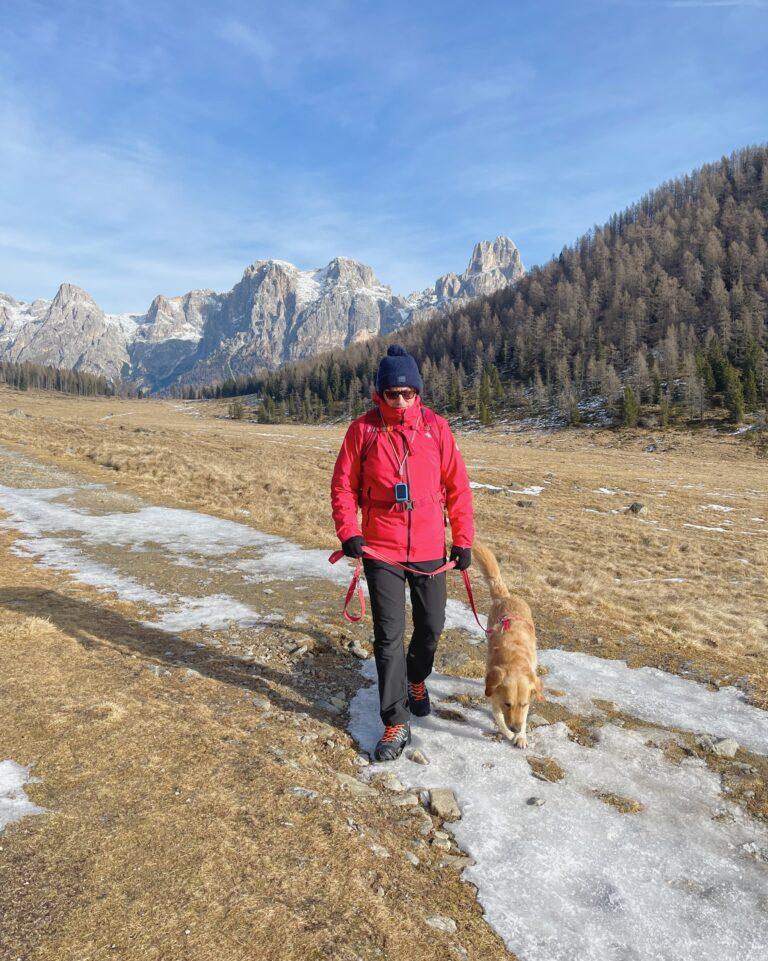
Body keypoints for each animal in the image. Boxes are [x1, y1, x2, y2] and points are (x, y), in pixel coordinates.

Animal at [472, 544, 544, 748]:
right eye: (507, 704)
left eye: (524, 705)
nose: (516, 728)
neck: (514, 658)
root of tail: (506, 597)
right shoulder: (494, 695)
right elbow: (499, 719)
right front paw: (510, 734)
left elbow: (525, 718)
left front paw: (521, 736)